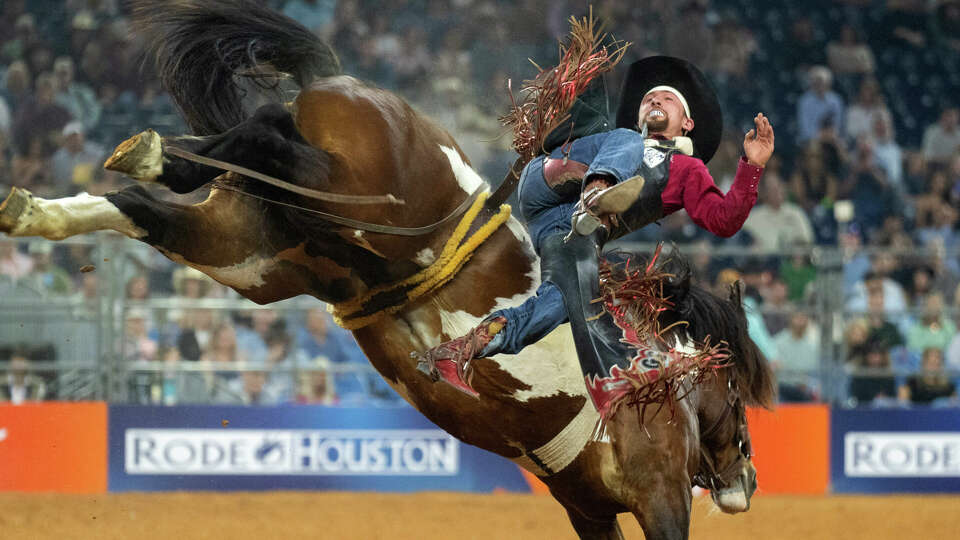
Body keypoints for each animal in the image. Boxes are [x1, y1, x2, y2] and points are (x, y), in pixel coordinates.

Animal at [0, 2, 776, 536]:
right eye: (739, 391)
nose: (745, 480)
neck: (665, 377)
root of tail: (339, 80)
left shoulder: (586, 508)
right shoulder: (659, 498)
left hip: (252, 253)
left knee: (155, 199)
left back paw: (77, 191)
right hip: (349, 194)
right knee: (266, 138)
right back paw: (157, 153)